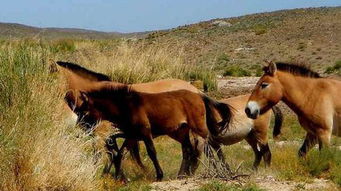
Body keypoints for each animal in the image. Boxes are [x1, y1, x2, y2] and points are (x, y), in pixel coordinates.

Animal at [63, 83, 234, 181]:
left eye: (84, 111)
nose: (80, 127)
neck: (127, 106)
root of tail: (200, 95)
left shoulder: (144, 133)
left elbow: (151, 152)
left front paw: (159, 175)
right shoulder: (132, 135)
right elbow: (119, 152)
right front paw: (119, 177)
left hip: (198, 127)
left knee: (213, 145)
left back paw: (222, 170)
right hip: (181, 131)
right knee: (189, 149)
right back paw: (183, 174)